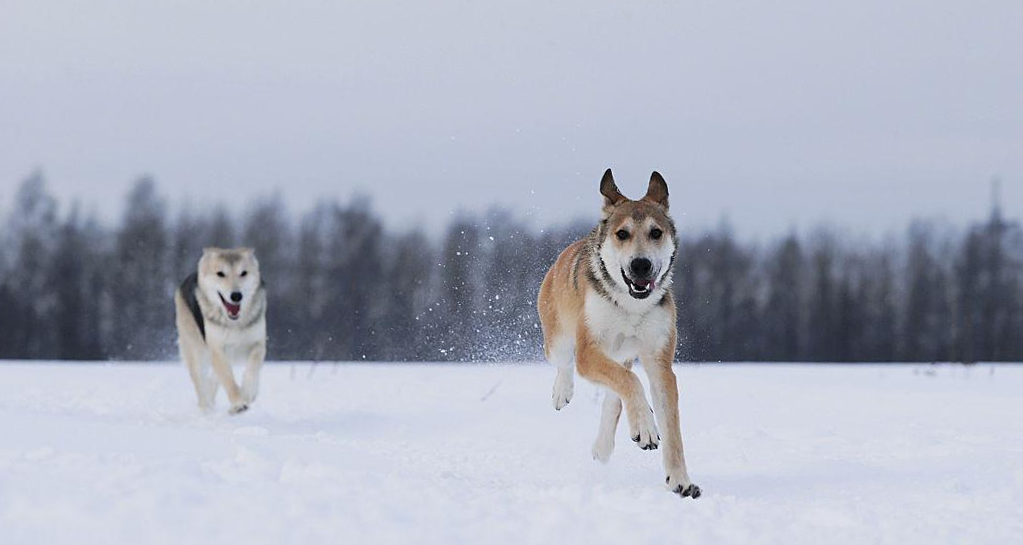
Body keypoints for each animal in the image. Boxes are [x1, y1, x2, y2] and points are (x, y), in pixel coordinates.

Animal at [178, 246, 270, 413]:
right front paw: (239, 403)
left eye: (243, 273)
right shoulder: (217, 349)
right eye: (220, 274)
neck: (235, 323)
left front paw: (248, 393)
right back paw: (207, 409)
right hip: (197, 351)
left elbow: (253, 369)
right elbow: (228, 379)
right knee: (201, 384)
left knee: (212, 380)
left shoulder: (258, 343)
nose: (236, 296)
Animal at [540, 168, 699, 496]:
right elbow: (630, 382)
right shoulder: (588, 352)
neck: (631, 305)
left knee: (614, 395)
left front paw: (680, 479)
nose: (641, 265)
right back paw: (563, 393)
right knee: (567, 364)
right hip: (558, 340)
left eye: (656, 233)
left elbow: (671, 427)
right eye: (622, 234)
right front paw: (645, 427)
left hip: (621, 355)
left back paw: (604, 445)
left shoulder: (660, 363)